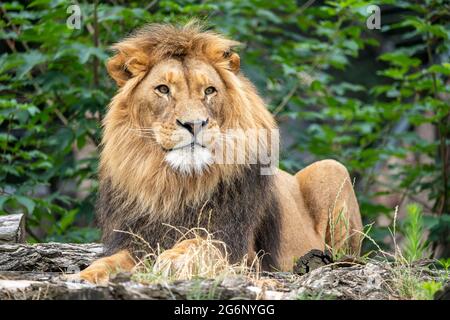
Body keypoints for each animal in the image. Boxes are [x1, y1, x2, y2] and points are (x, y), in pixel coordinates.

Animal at [74, 21, 362, 284]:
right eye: (163, 89)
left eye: (209, 90)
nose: (194, 124)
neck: (176, 185)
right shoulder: (137, 240)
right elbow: (110, 261)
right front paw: (85, 275)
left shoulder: (240, 249)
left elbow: (200, 243)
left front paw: (175, 259)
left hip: (332, 168)